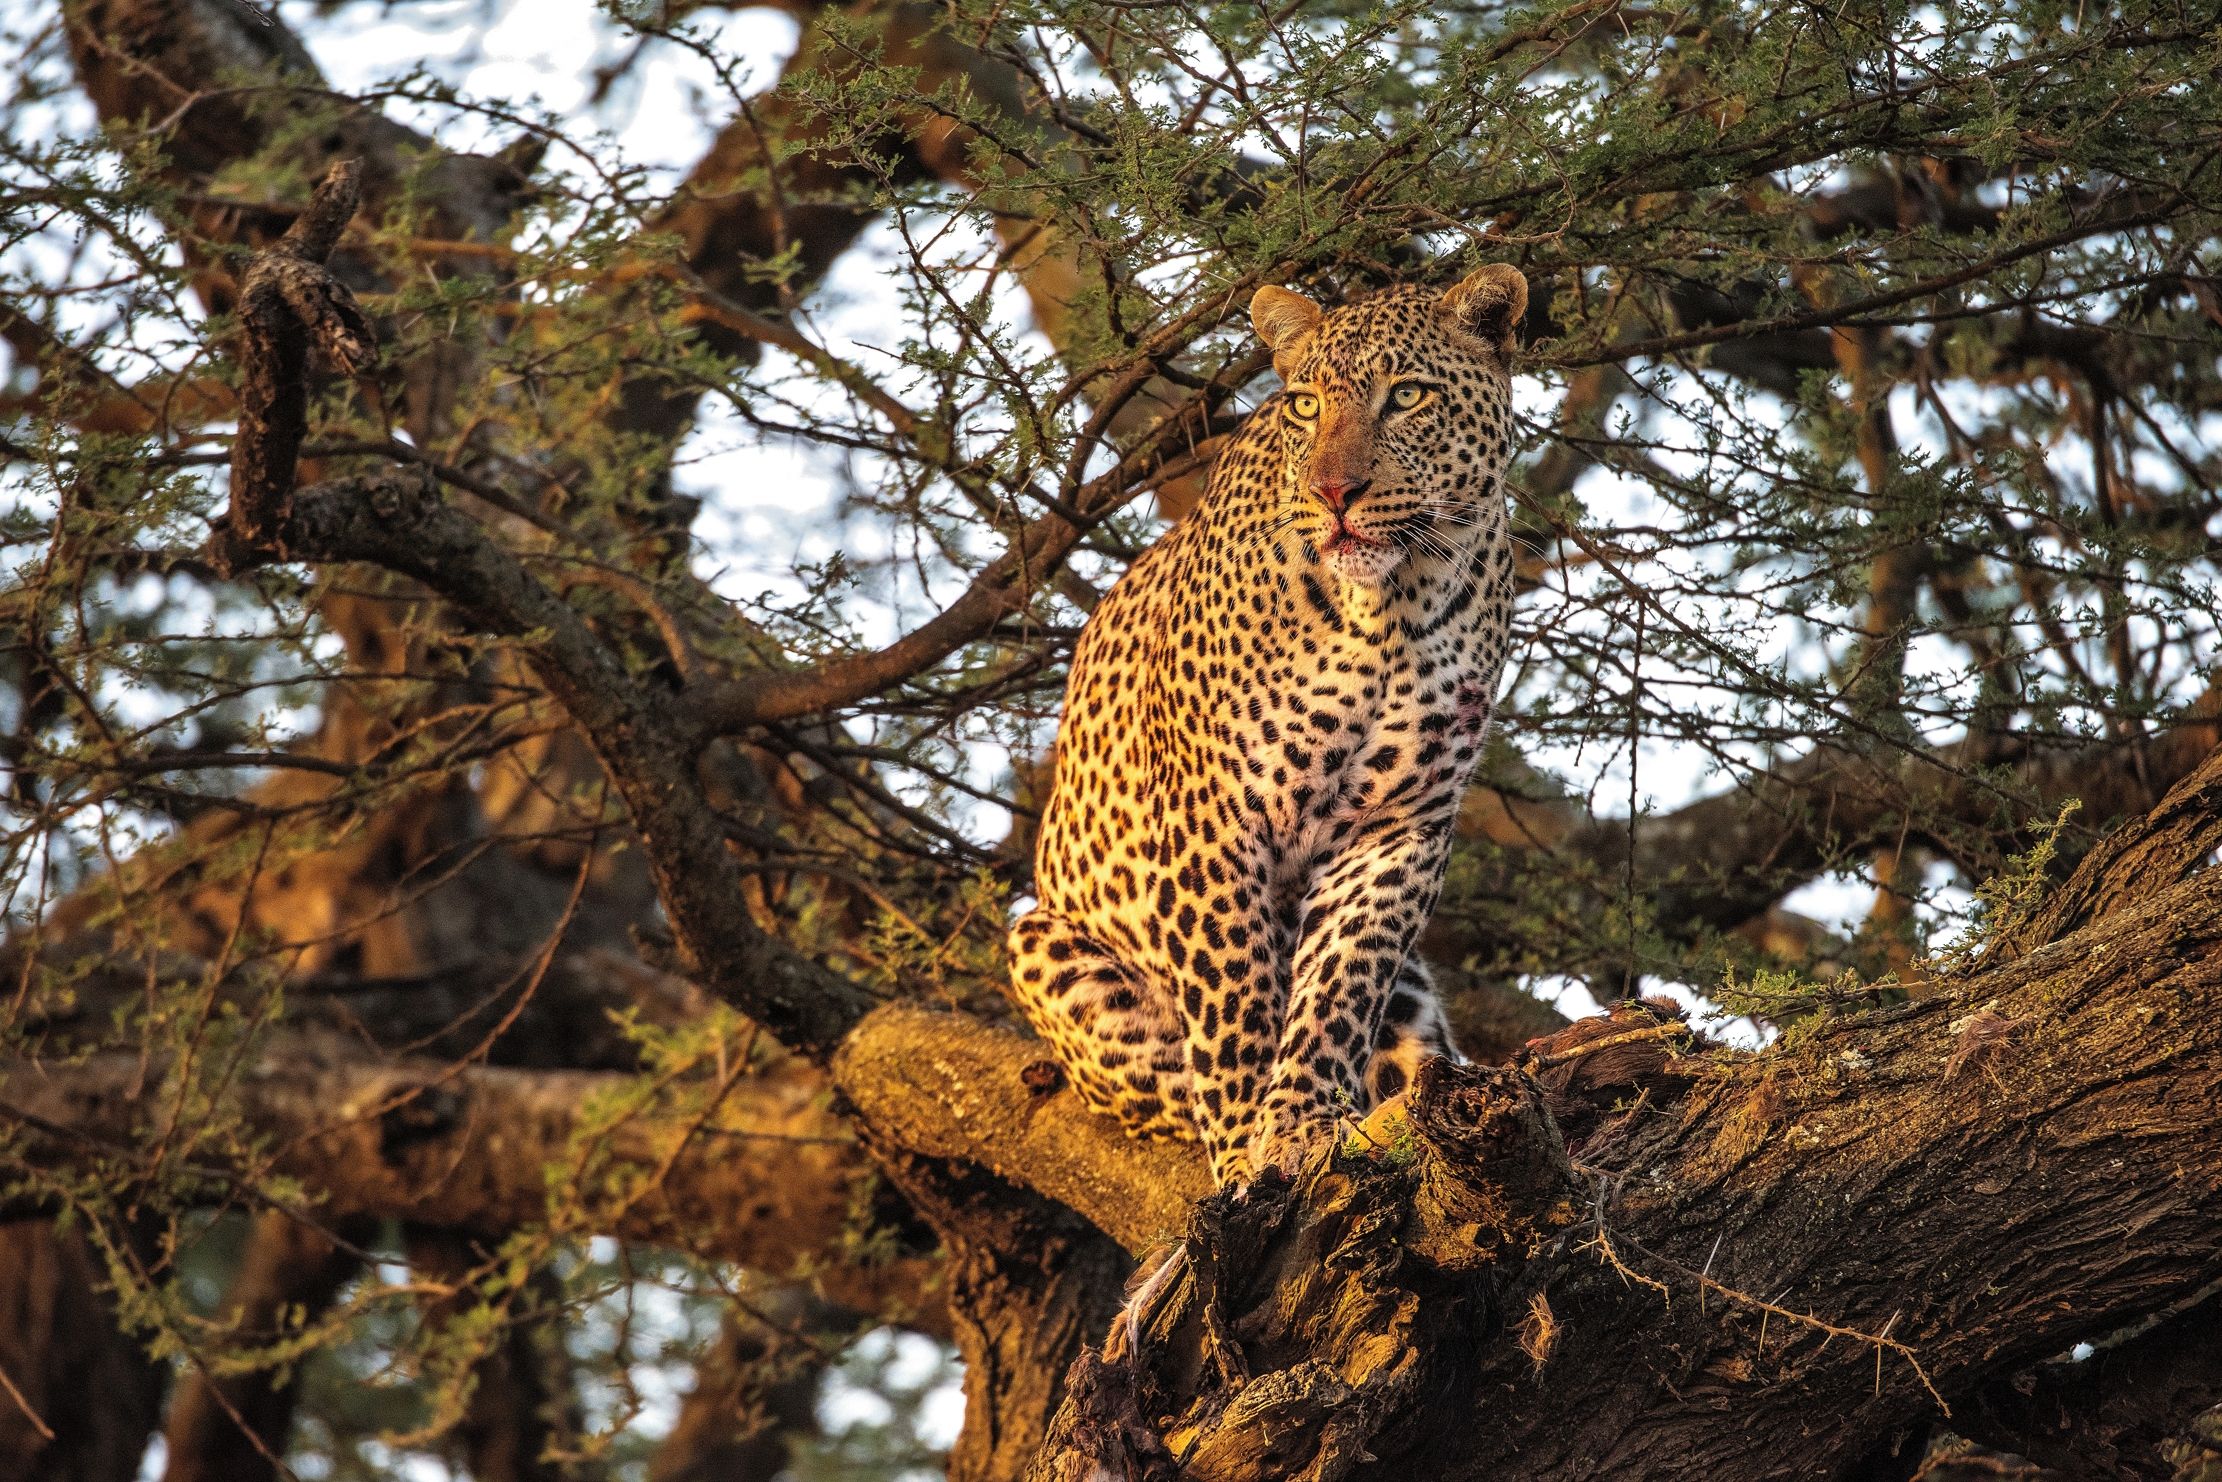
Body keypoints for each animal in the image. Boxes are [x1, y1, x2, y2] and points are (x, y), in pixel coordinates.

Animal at [1009, 264, 1529, 1187]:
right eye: (1306, 405)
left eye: (1407, 396)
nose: (1335, 494)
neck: (1390, 610)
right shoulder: (1211, 819)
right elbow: (1234, 998)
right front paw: (1248, 1147)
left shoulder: (1400, 828)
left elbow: (1337, 986)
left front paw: (1301, 1123)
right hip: (1042, 948)